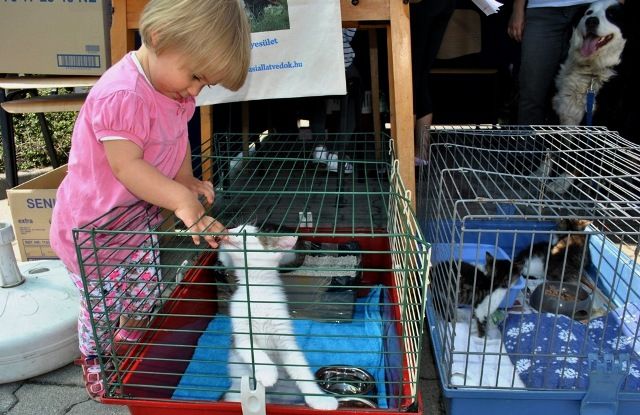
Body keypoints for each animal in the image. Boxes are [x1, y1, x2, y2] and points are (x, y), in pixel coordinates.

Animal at [218, 224, 339, 410]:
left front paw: (319, 399)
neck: (257, 289)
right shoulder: (241, 333)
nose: (228, 230)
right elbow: (253, 351)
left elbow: (301, 369)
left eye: (245, 232)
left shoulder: (285, 337)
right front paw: (268, 373)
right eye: (236, 227)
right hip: (237, 391)